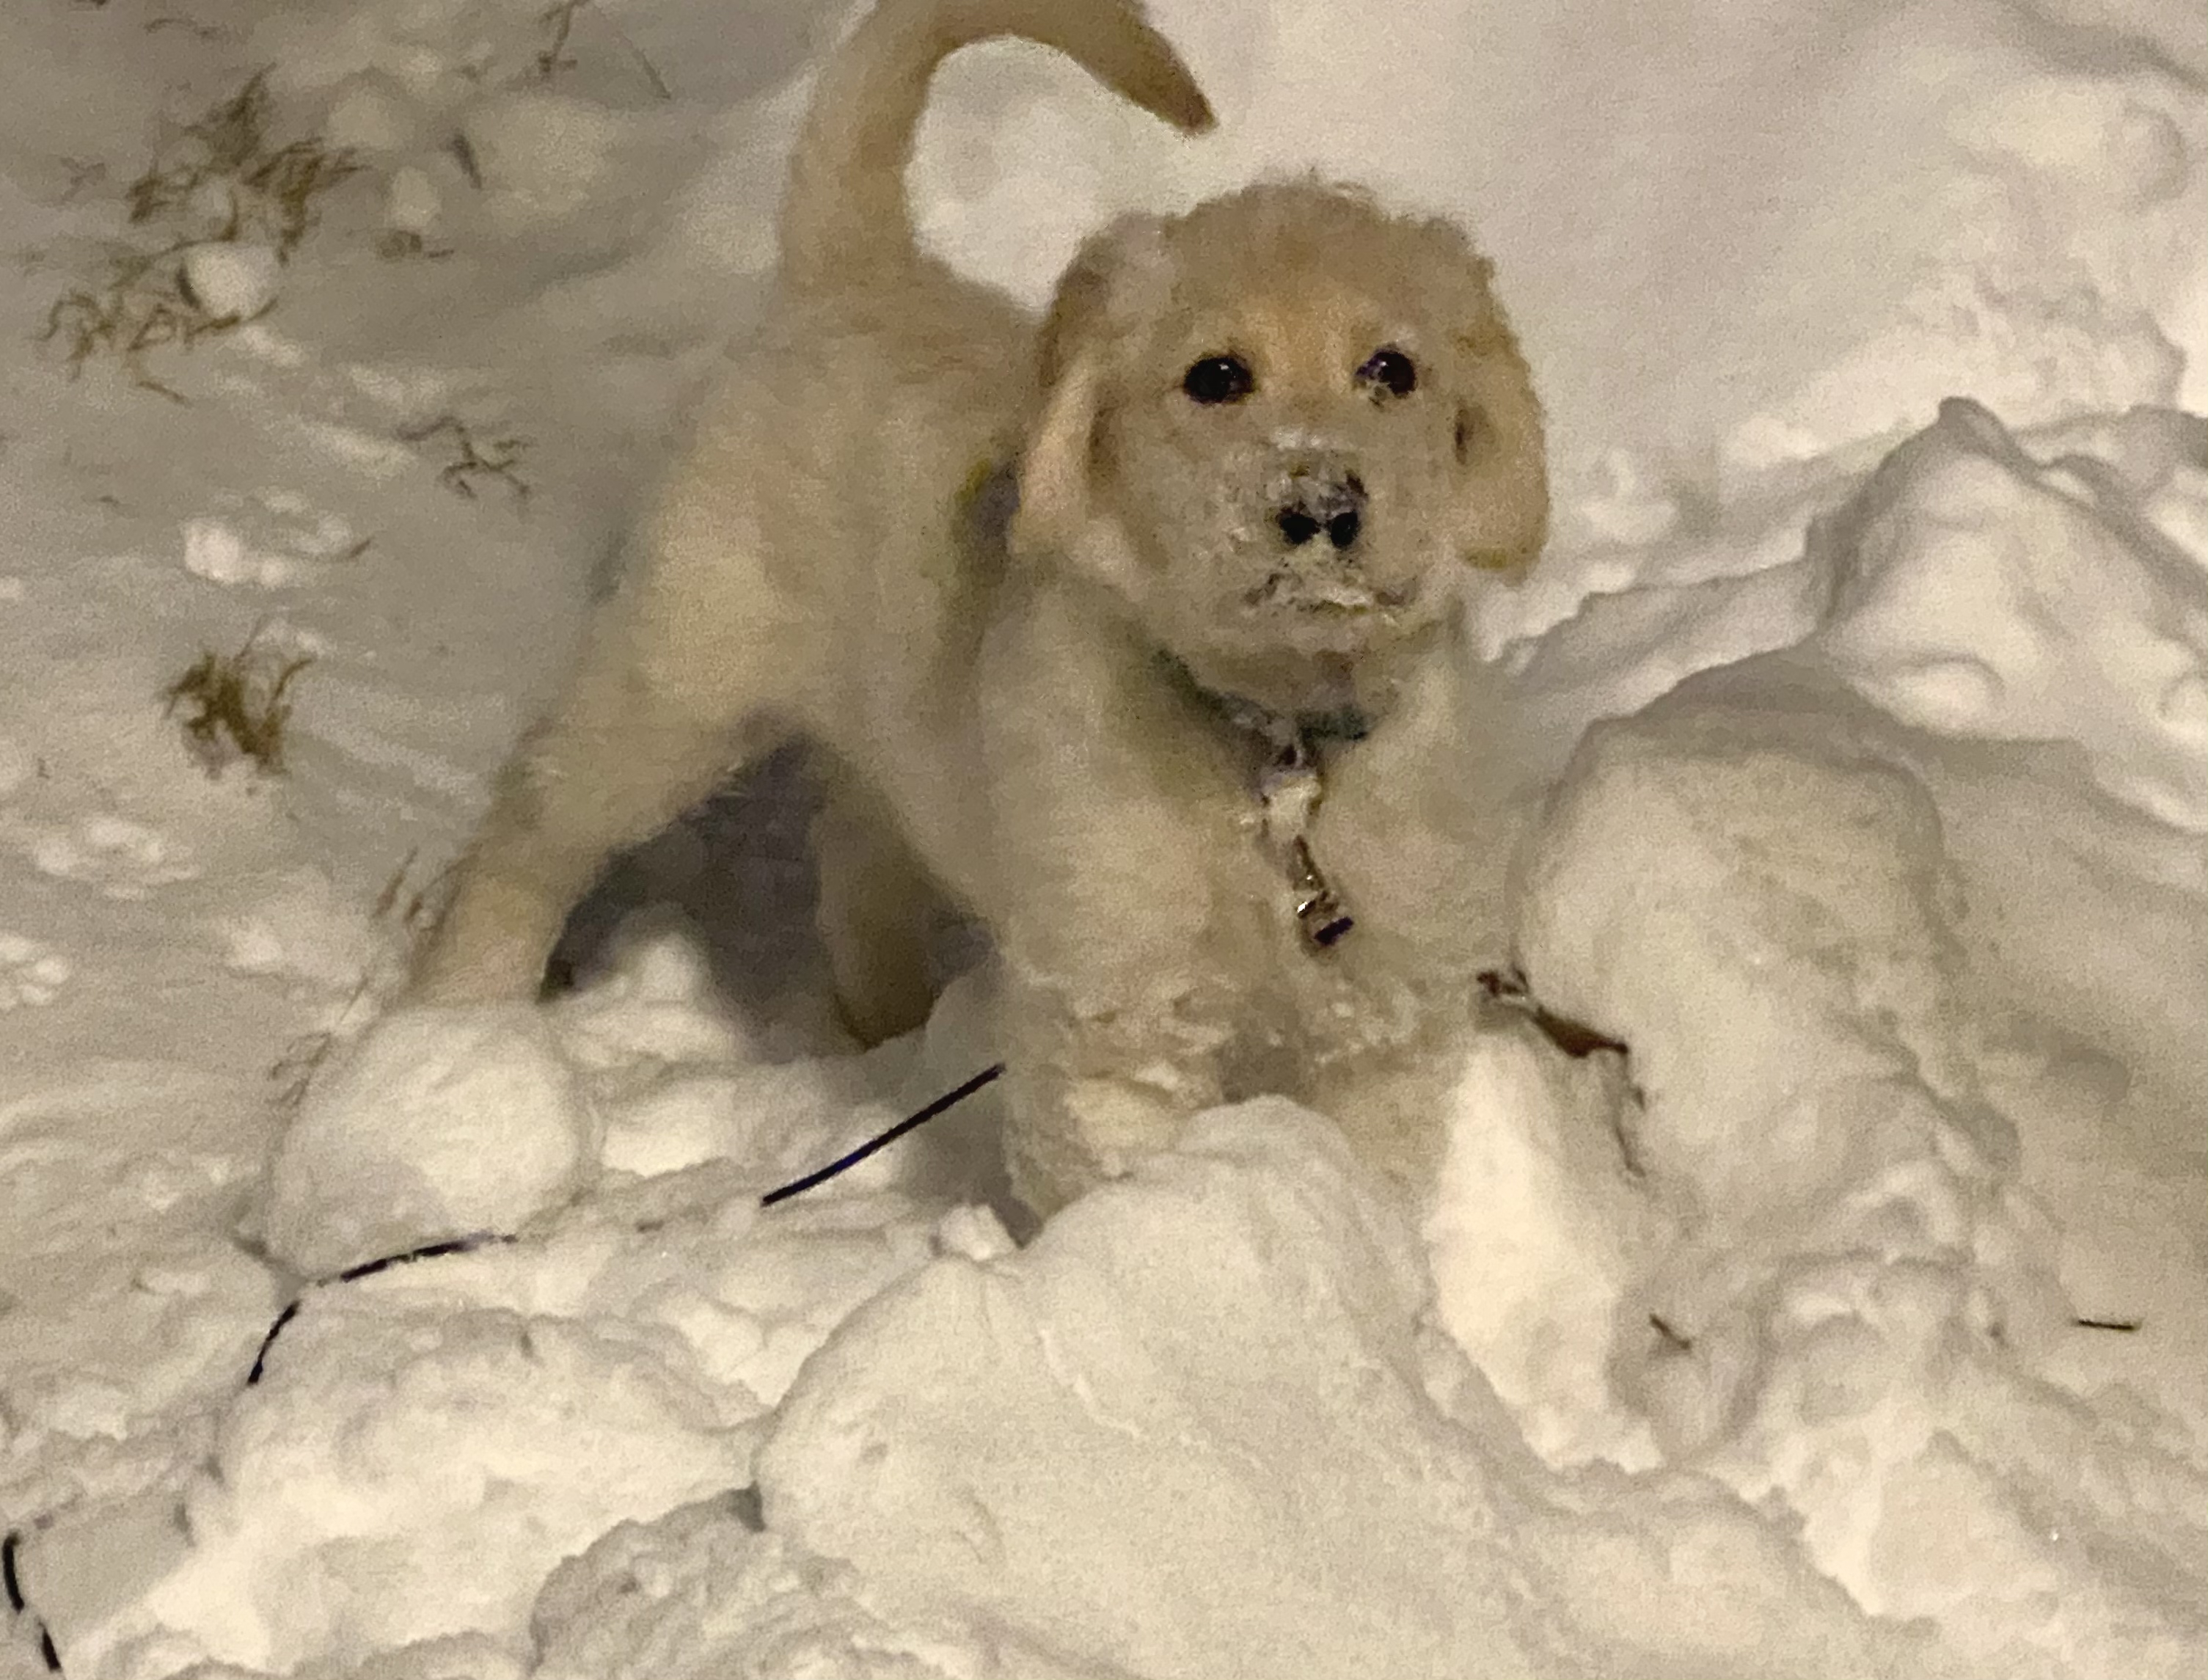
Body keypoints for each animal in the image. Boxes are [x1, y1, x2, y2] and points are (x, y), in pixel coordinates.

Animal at [414, 0, 1554, 1210]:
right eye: (1215, 377)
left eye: (1391, 370)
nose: (1322, 506)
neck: (1269, 746)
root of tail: (852, 269)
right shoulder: (1115, 1022)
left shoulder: (1383, 1014)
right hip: (677, 679)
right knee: (536, 821)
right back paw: (457, 1029)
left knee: (855, 849)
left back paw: (892, 1026)